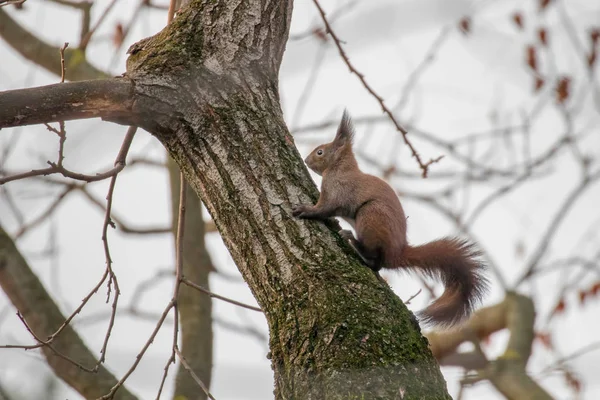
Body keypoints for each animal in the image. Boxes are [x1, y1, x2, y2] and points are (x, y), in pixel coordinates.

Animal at [292, 111, 490, 326]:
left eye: (320, 152)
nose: (306, 160)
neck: (339, 168)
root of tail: (397, 252)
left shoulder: (338, 192)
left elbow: (325, 209)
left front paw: (305, 210)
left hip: (370, 216)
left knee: (376, 260)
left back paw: (354, 242)